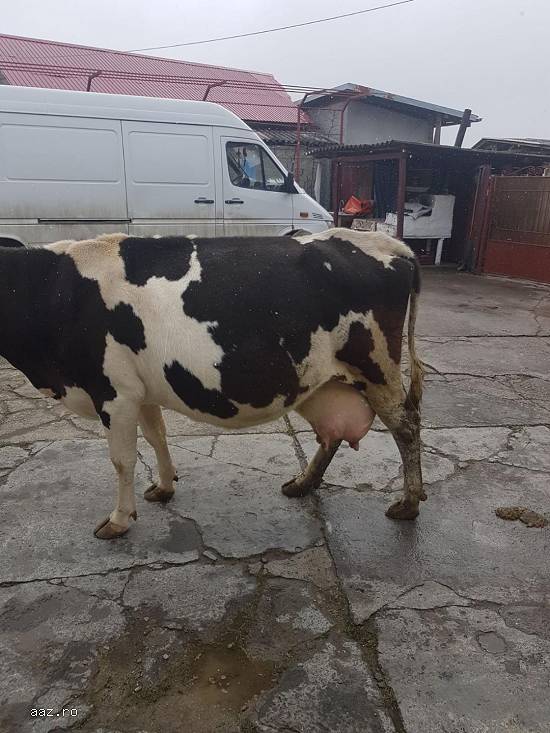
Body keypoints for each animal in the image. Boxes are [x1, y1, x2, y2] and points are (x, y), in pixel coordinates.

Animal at [0, 229, 424, 539]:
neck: (54, 290)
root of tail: (389, 243)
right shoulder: (140, 390)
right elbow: (157, 436)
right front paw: (165, 486)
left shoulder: (113, 393)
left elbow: (122, 459)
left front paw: (119, 519)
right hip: (321, 380)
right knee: (333, 432)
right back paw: (303, 483)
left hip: (376, 368)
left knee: (407, 427)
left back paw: (409, 504)